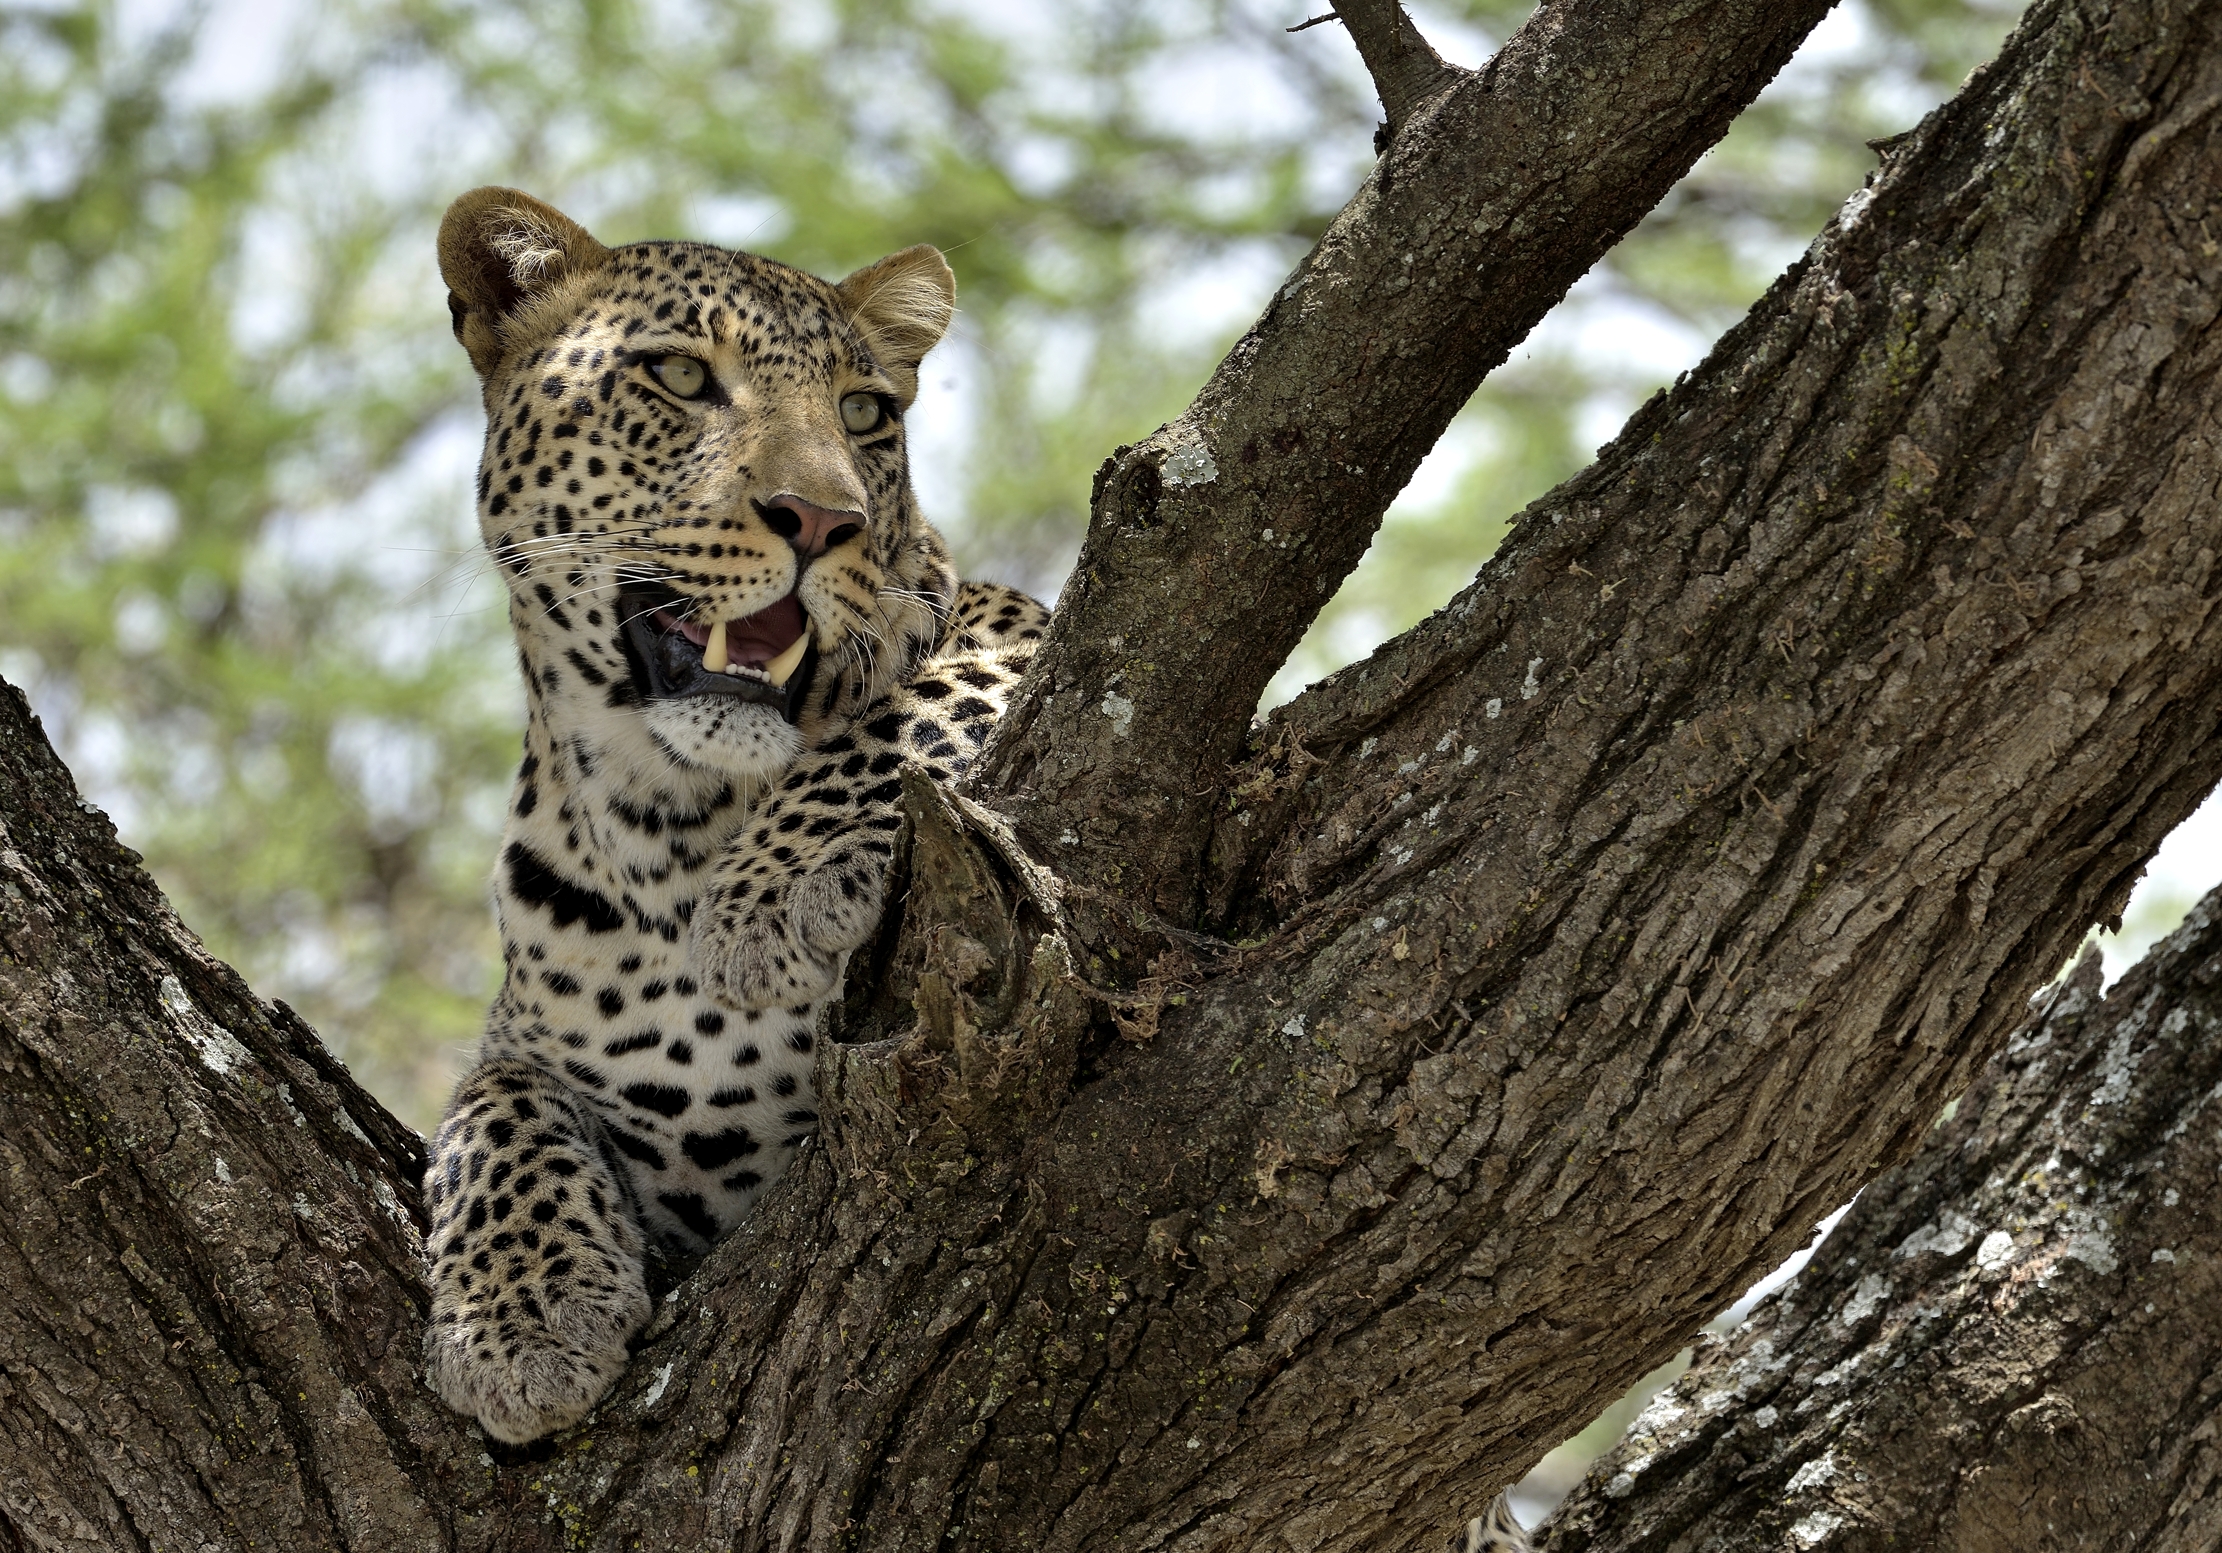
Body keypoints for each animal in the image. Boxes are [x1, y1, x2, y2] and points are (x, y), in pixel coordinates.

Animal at [418, 186, 1048, 1446]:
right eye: (678, 376)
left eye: (863, 411)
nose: (817, 518)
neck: (669, 824)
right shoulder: (542, 1060)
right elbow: (488, 1103)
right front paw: (519, 1319)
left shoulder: (1028, 633)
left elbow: (918, 699)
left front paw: (773, 896)